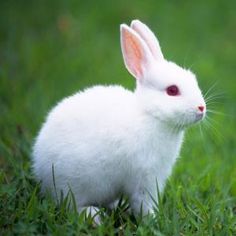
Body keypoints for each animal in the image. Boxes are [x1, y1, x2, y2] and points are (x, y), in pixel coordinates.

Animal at [32, 19, 206, 218]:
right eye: (172, 90)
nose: (201, 108)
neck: (150, 115)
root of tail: (39, 168)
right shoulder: (144, 178)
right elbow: (143, 203)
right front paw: (152, 219)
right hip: (71, 184)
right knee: (71, 206)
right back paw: (94, 216)